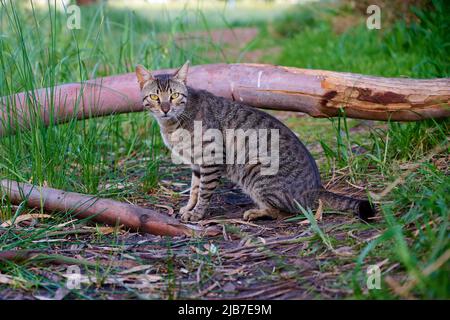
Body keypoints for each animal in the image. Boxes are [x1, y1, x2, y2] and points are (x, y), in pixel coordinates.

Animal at [135, 62, 374, 222]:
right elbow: (194, 189)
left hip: (256, 170)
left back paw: (256, 212)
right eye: (155, 97)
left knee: (285, 211)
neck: (171, 125)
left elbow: (204, 191)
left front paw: (198, 214)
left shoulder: (211, 157)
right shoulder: (196, 163)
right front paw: (189, 208)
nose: (165, 108)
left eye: (174, 96)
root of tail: (316, 188)